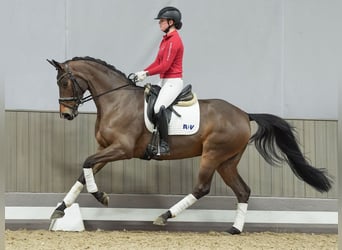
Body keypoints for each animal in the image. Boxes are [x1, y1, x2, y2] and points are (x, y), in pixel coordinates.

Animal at [46, 56, 332, 234]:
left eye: (64, 82)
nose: (66, 115)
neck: (117, 100)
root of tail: (244, 114)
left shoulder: (122, 149)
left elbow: (86, 164)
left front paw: (101, 196)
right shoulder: (106, 149)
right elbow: (84, 172)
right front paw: (60, 209)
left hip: (212, 155)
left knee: (202, 188)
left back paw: (165, 216)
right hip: (227, 161)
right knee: (243, 191)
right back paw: (234, 229)